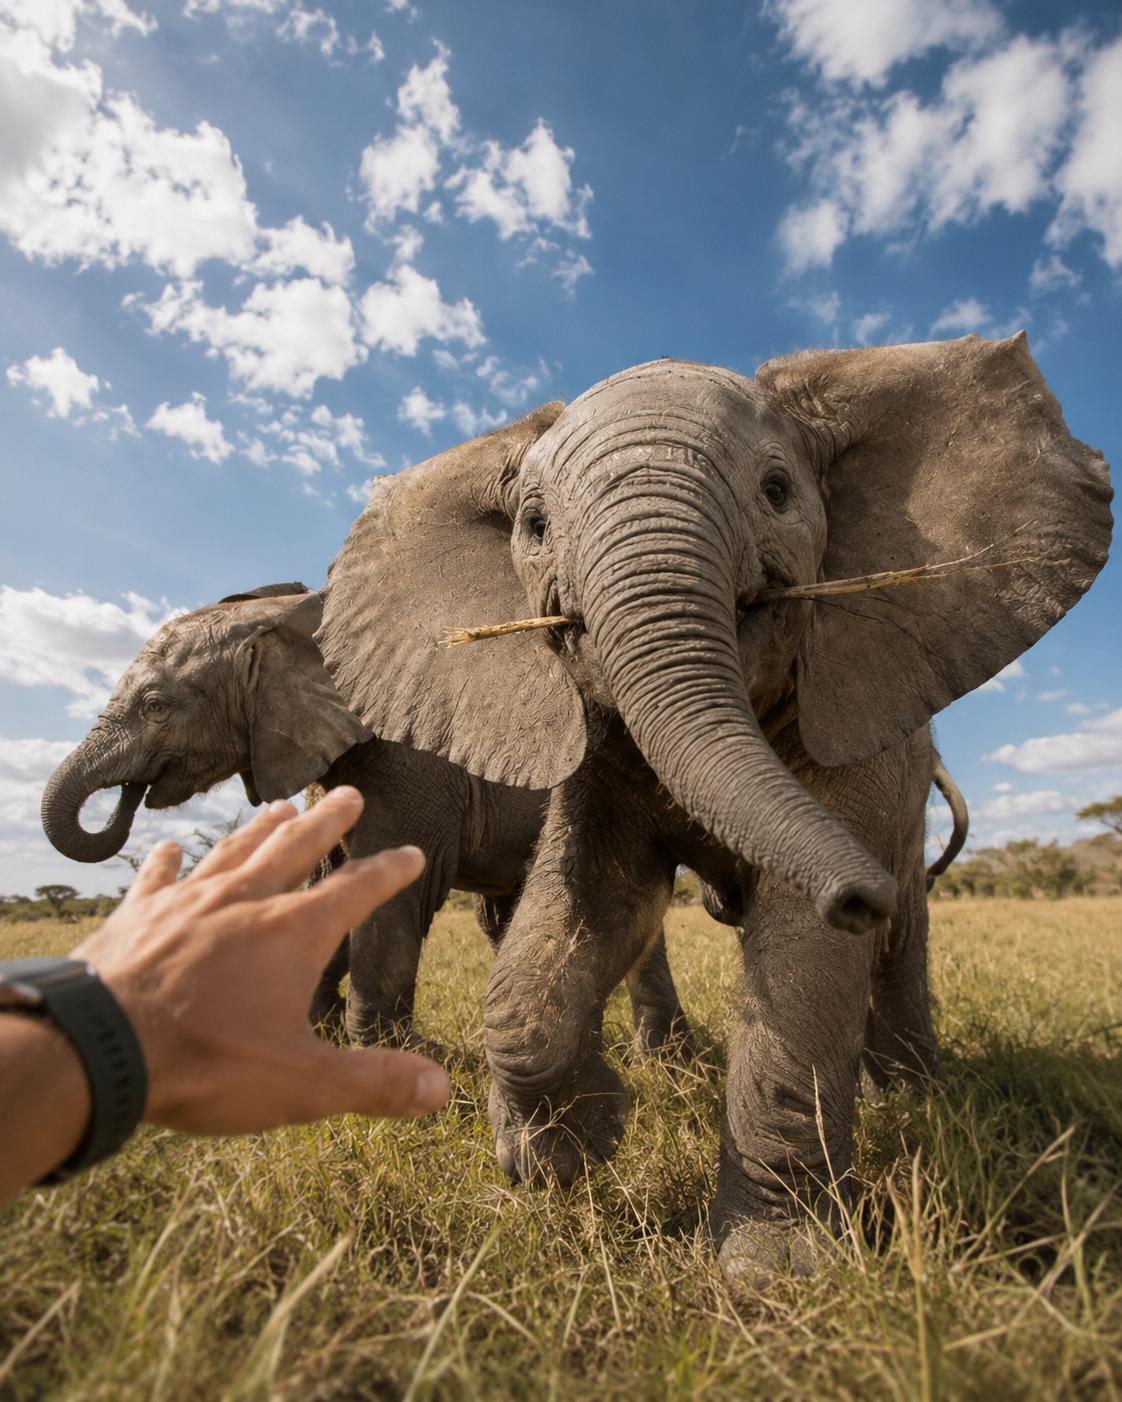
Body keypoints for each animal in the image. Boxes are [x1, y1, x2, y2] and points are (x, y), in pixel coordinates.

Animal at [39, 584, 692, 1055]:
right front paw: (321, 1036)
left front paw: (406, 1056)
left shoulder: (414, 761)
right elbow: (329, 882)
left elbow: (391, 889)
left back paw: (659, 1058)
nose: (129, 798)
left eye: (155, 706)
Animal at [316, 334, 1111, 1278]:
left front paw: (769, 1273)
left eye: (776, 491)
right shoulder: (598, 748)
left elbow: (804, 956)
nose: (859, 893)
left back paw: (912, 1102)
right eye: (535, 527)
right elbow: (589, 907)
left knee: (902, 942)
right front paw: (564, 1156)